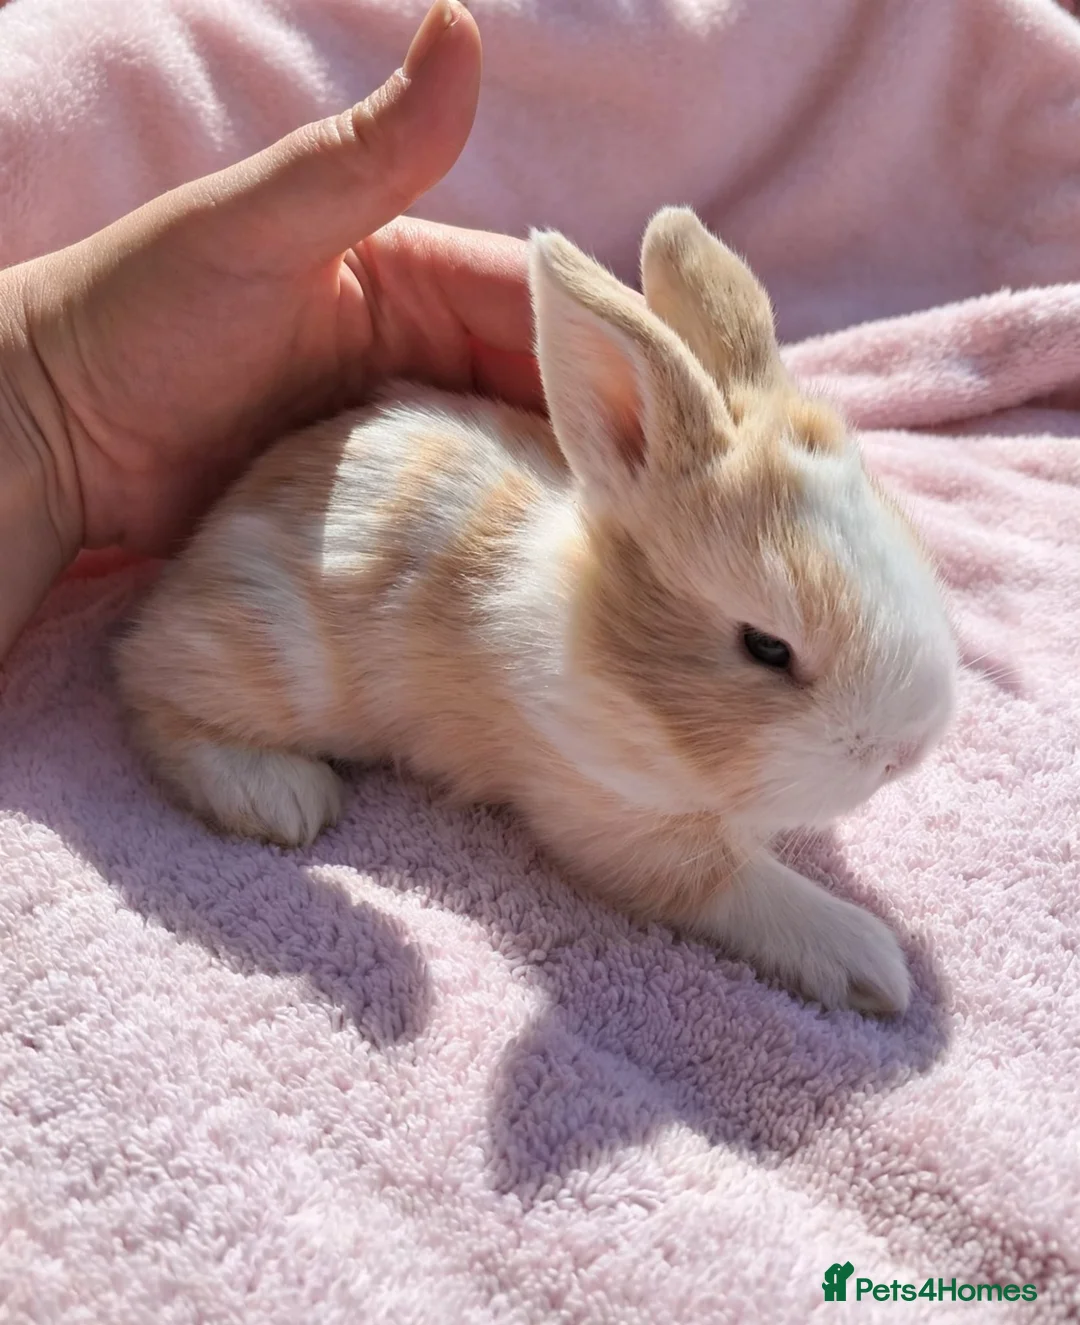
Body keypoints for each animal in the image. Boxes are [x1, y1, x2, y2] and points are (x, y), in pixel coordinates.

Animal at [114, 207, 957, 1016]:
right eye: (766, 647)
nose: (905, 752)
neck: (619, 664)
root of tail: (209, 537)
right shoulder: (613, 818)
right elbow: (739, 887)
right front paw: (871, 964)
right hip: (269, 659)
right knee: (150, 690)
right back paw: (283, 797)